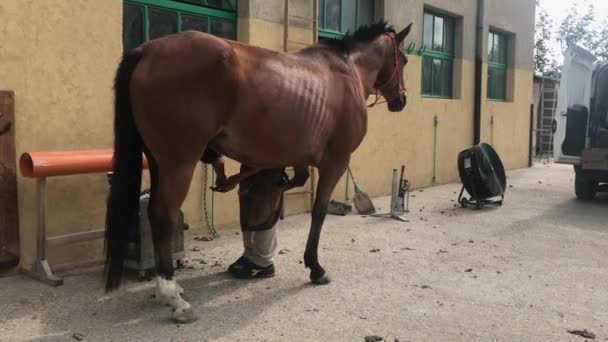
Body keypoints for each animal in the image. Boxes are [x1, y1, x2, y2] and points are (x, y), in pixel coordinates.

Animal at [105, 22, 414, 324]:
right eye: (405, 60)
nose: (401, 100)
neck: (348, 70)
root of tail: (147, 50)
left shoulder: (295, 157)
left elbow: (289, 186)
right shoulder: (335, 162)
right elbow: (319, 212)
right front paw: (315, 267)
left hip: (158, 161)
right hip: (178, 163)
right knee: (162, 214)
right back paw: (173, 297)